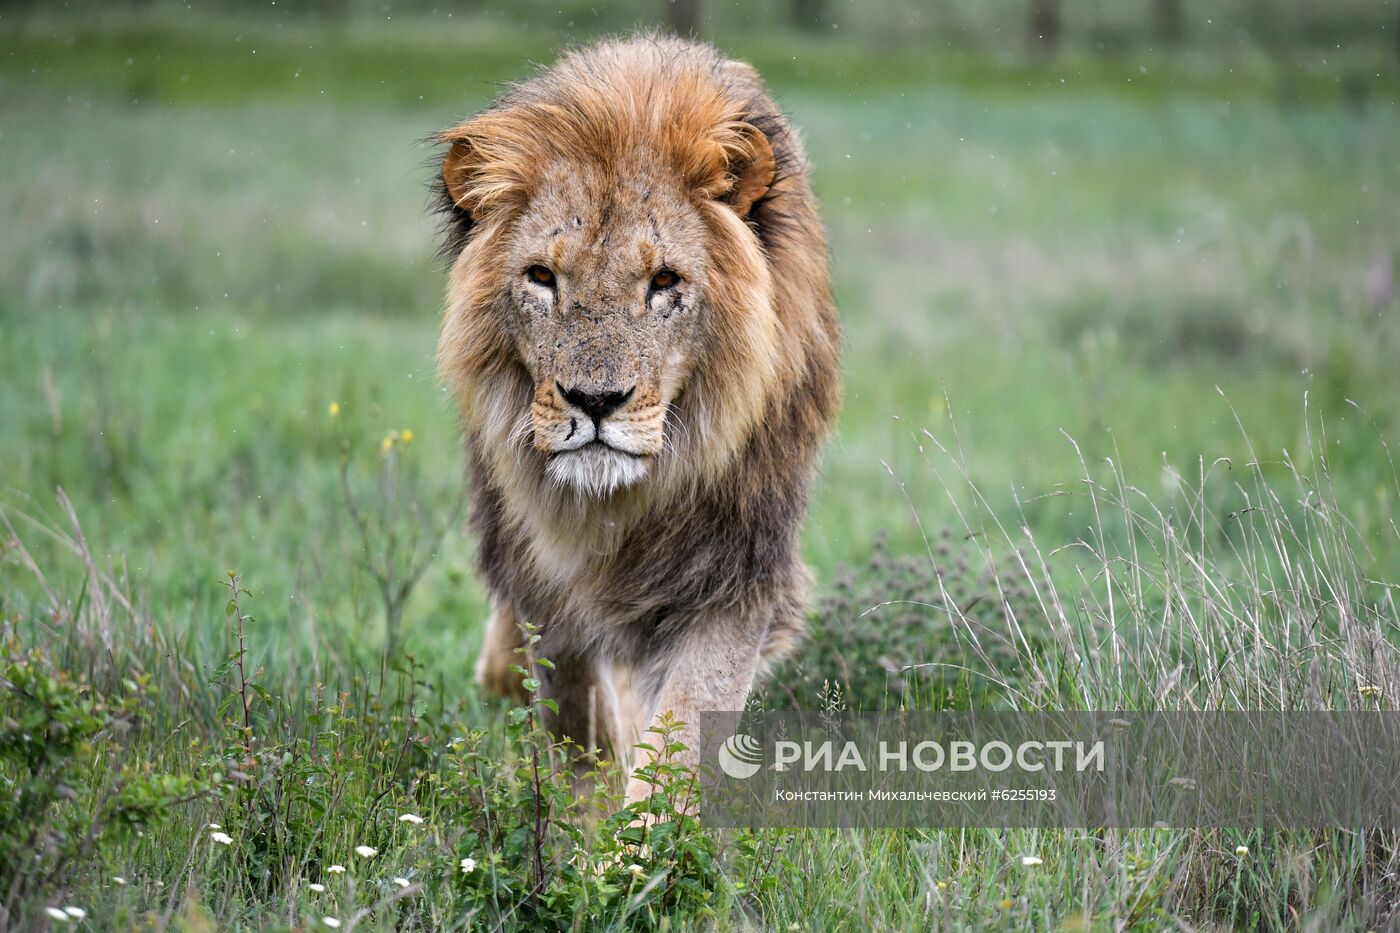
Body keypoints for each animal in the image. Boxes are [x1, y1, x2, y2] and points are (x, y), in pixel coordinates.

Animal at [431, 32, 834, 795]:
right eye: (542, 277)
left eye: (664, 282)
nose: (594, 401)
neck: (618, 505)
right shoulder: (547, 594)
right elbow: (578, 730)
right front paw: (586, 820)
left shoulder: (734, 577)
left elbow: (681, 732)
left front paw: (643, 828)